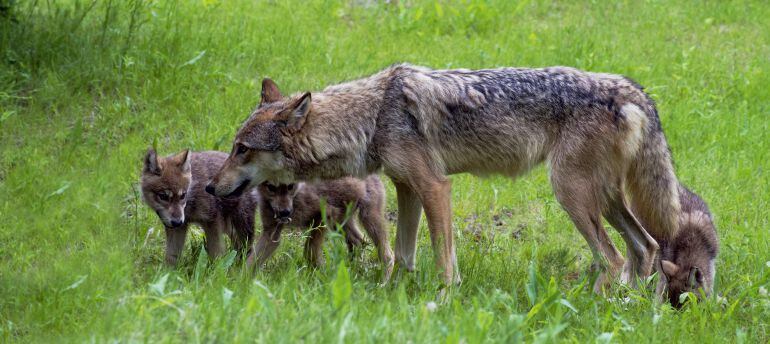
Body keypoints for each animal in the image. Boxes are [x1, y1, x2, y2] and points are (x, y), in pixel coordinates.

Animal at [248, 176, 392, 280]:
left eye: (290, 186)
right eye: (271, 187)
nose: (285, 212)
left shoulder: (326, 214)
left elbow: (310, 250)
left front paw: (320, 278)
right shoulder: (271, 233)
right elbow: (251, 261)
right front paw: (244, 284)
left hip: (368, 216)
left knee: (387, 254)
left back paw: (383, 282)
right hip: (342, 222)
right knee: (360, 242)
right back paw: (352, 270)